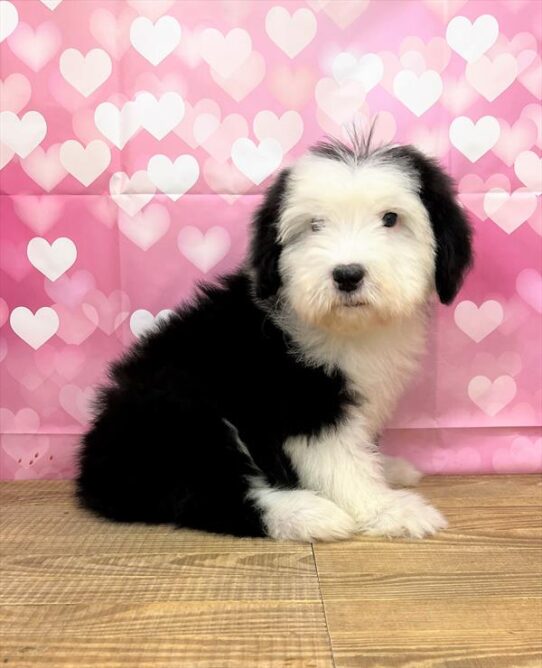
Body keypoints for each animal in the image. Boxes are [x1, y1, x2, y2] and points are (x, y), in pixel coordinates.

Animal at [76, 137, 472, 544]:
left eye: (390, 219)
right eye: (314, 225)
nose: (347, 275)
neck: (350, 328)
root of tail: (93, 469)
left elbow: (359, 448)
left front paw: (385, 469)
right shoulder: (304, 399)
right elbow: (340, 461)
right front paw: (386, 508)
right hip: (181, 415)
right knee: (206, 493)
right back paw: (307, 513)